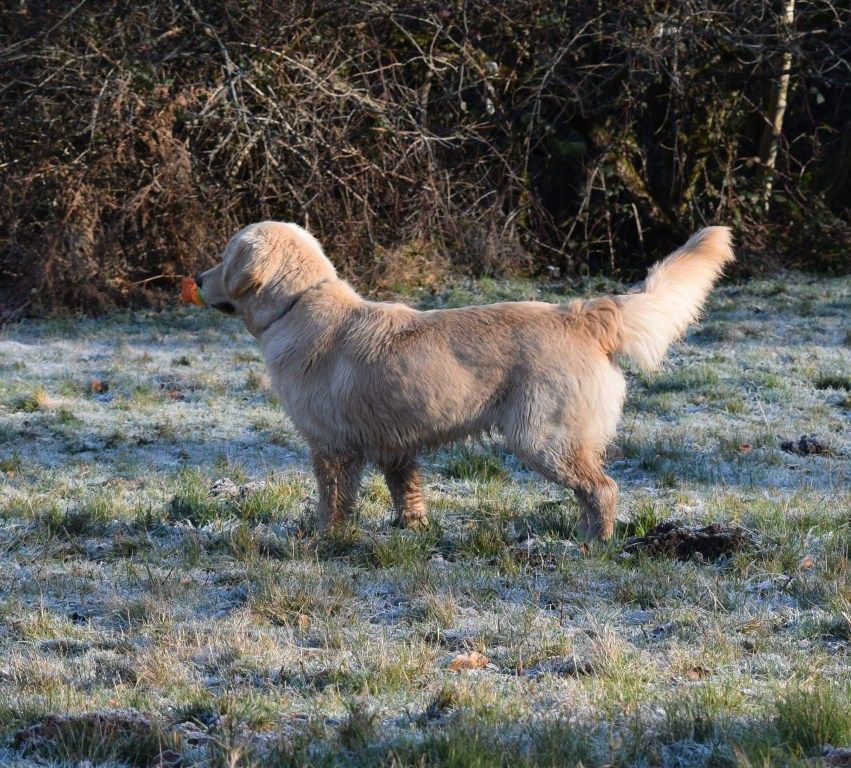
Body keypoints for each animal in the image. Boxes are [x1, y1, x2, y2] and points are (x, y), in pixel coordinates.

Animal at [195, 222, 733, 539]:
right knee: (592, 489)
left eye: (224, 257)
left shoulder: (332, 447)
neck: (297, 305)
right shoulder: (395, 447)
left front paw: (325, 539)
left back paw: (594, 544)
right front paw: (412, 533)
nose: (197, 279)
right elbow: (407, 496)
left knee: (603, 488)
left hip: (542, 438)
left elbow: (333, 503)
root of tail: (582, 314)